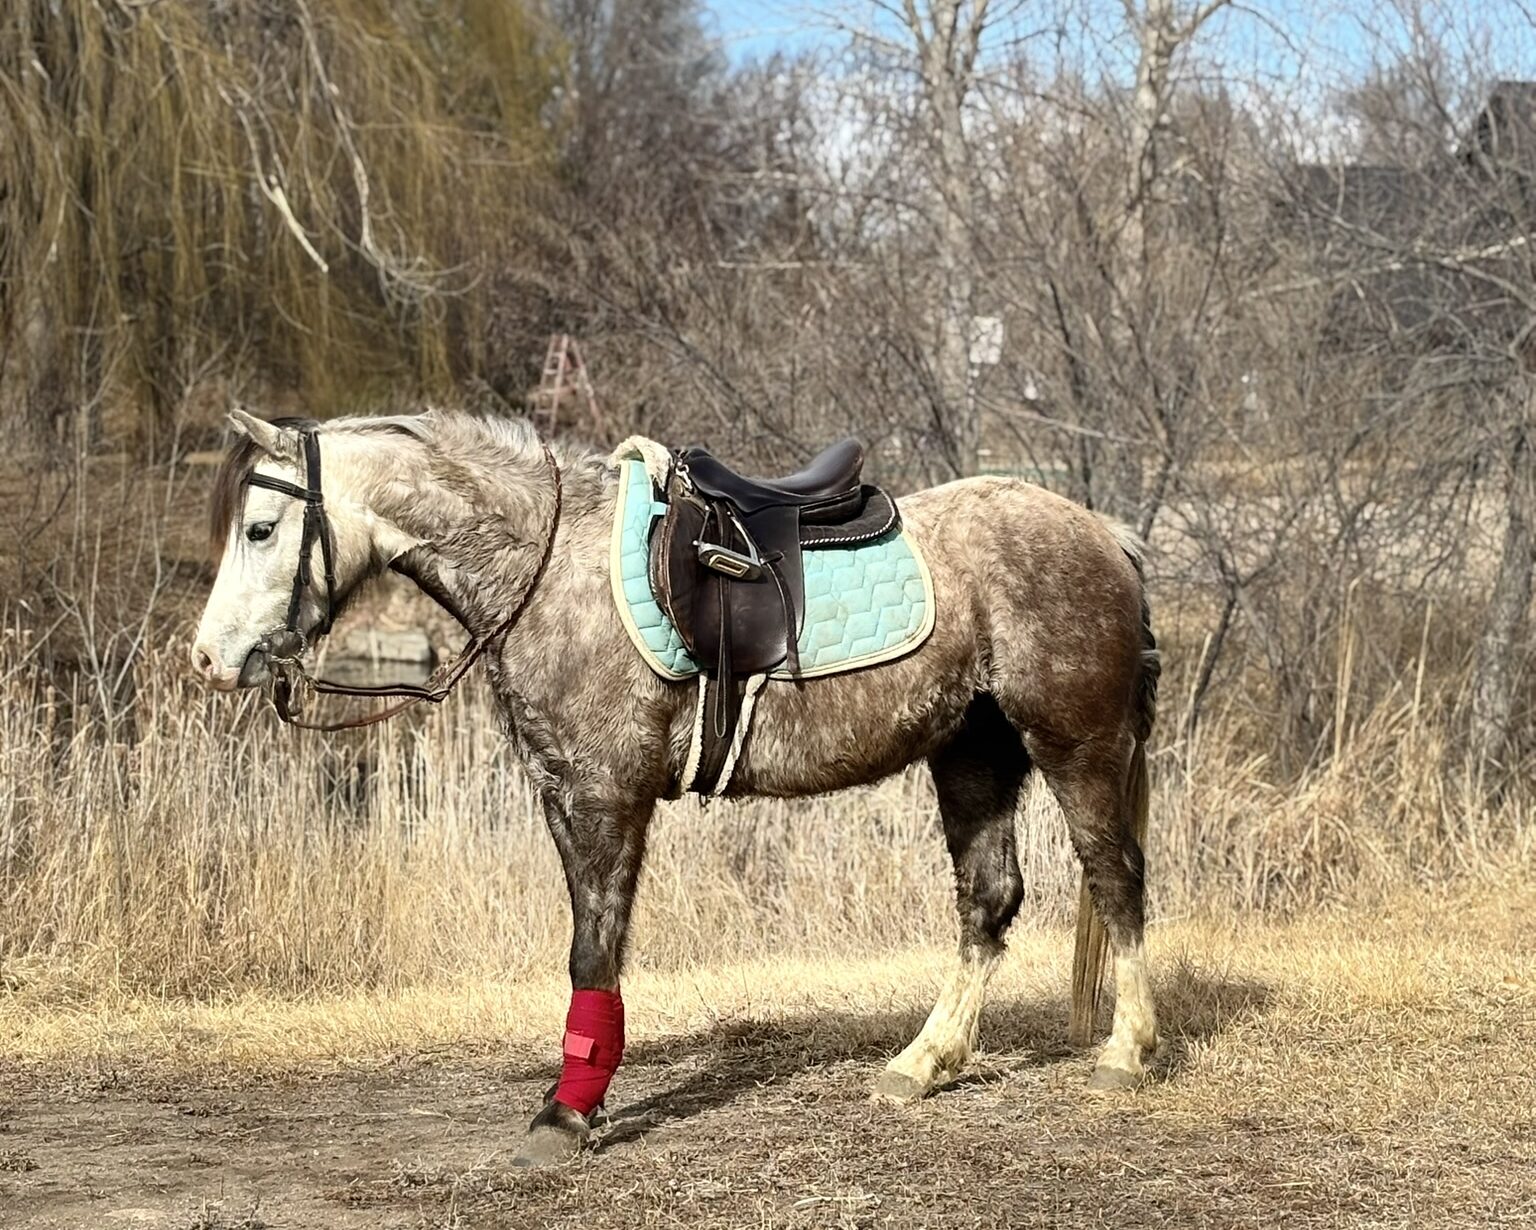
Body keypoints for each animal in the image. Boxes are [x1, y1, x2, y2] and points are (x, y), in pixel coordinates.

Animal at [191, 408, 1161, 1166]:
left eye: (261, 530)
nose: (208, 659)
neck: (552, 567)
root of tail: (1104, 534)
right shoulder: (565, 795)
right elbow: (594, 947)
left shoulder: (602, 797)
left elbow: (593, 953)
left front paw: (566, 1113)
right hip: (973, 754)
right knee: (988, 902)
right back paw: (924, 1064)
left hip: (1076, 746)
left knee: (1115, 880)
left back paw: (1125, 1053)